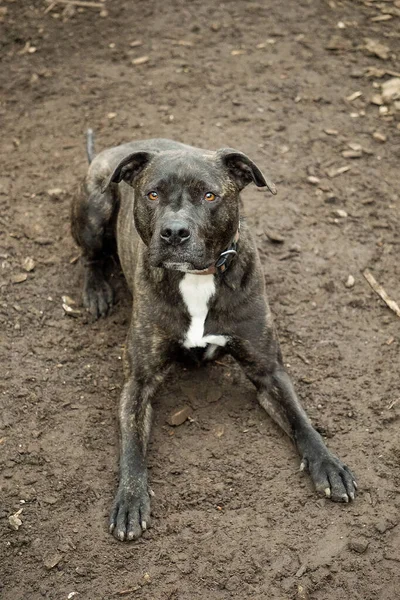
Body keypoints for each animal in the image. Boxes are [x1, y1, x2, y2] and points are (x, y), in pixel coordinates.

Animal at [71, 132, 356, 544]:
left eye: (209, 196)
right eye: (152, 195)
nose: (174, 232)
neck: (198, 278)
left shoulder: (269, 371)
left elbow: (301, 420)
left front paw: (328, 463)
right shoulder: (138, 382)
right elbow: (132, 444)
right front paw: (130, 498)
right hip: (95, 209)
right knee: (91, 256)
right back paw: (96, 290)